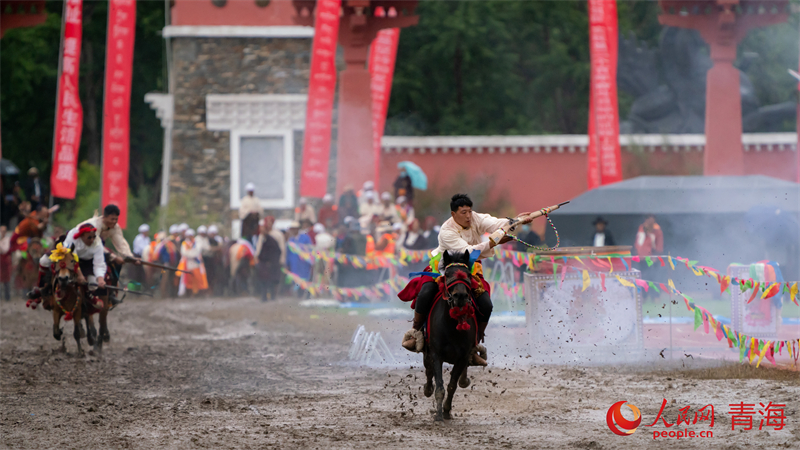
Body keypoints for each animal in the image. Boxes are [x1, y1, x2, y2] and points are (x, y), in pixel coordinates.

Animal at [422, 250, 478, 422]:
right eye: (447, 274)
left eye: (468, 274)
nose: (460, 296)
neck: (451, 327)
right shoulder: (436, 354)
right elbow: (439, 385)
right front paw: (439, 414)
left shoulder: (462, 357)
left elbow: (452, 386)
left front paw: (446, 411)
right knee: (428, 369)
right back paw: (427, 389)